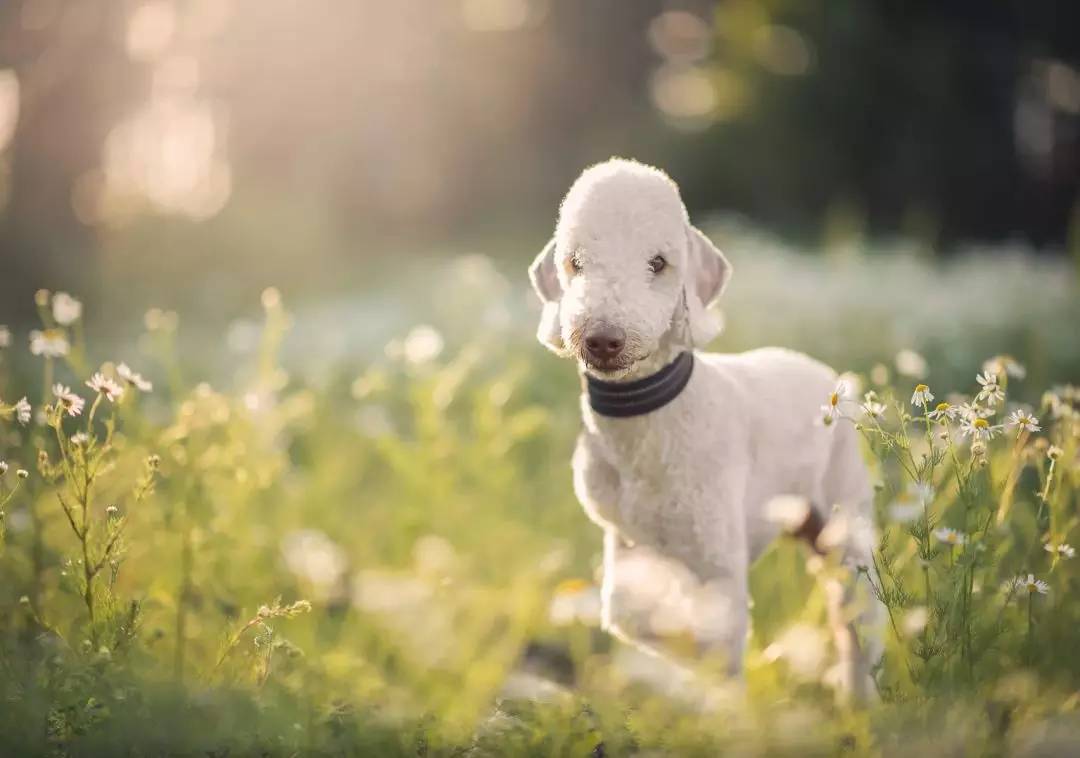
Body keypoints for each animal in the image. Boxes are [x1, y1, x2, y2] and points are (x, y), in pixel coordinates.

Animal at [527, 157, 881, 704]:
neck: (650, 423)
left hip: (845, 527)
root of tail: (836, 380)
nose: (602, 339)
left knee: (859, 618)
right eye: (575, 263)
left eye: (658, 264)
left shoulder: (717, 557)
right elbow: (628, 618)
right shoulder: (627, 543)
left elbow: (717, 639)